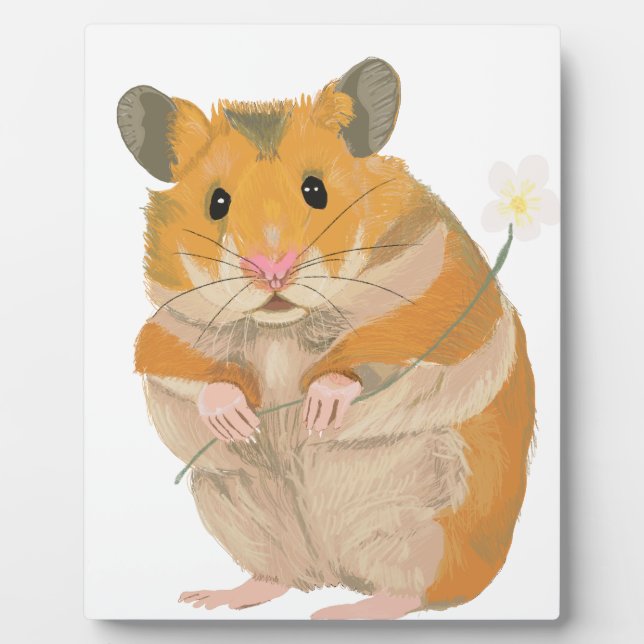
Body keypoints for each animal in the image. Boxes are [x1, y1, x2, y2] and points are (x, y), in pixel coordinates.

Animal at [117, 57, 535, 620]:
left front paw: (317, 414)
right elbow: (196, 378)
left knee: (415, 592)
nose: (272, 271)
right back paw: (213, 599)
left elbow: (370, 362)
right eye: (217, 203)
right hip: (239, 513)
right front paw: (239, 423)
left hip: (424, 532)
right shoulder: (169, 332)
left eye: (316, 191)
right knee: (277, 576)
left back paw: (342, 611)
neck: (283, 327)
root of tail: (331, 572)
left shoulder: (440, 308)